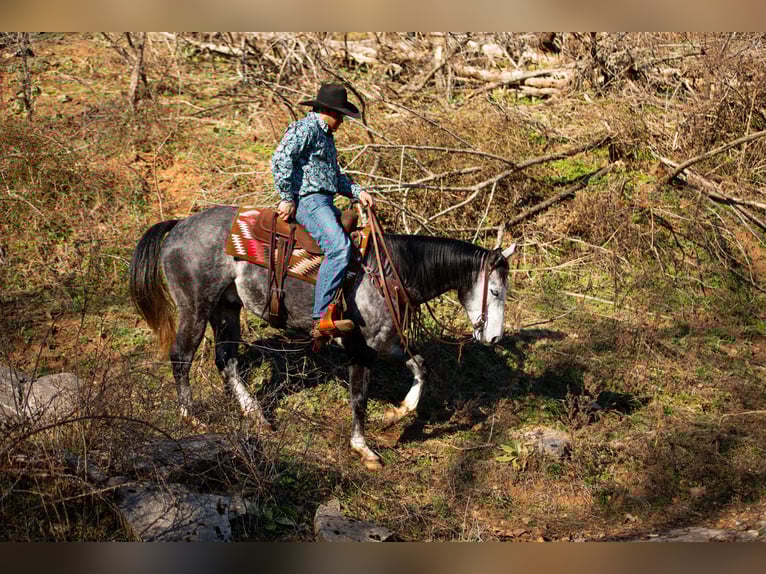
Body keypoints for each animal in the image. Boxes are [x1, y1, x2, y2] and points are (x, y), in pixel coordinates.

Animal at [128, 205, 514, 470]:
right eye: (495, 291)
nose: (494, 338)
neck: (389, 271)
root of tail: (179, 226)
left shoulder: (387, 342)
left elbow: (421, 367)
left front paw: (397, 414)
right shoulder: (361, 349)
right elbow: (359, 398)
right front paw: (364, 448)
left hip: (226, 308)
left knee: (227, 361)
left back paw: (256, 415)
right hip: (195, 307)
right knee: (182, 356)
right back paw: (190, 417)